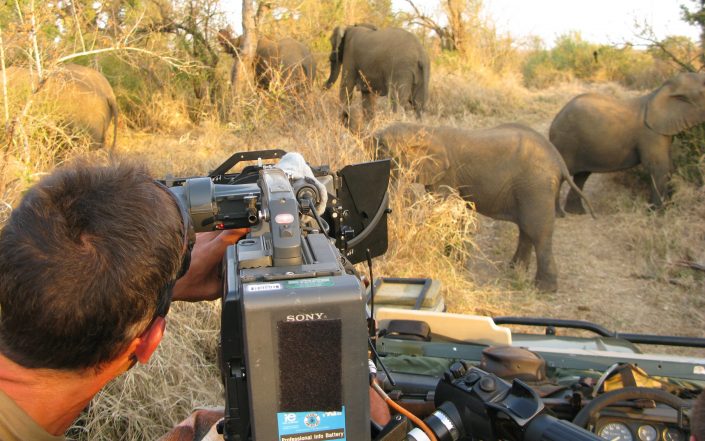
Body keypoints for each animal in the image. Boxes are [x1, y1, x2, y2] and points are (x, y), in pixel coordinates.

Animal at [374, 122, 592, 292]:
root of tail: (559, 161)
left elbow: (444, 208)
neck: (424, 129)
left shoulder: (446, 174)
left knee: (538, 232)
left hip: (536, 186)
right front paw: (456, 262)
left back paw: (544, 289)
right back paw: (514, 271)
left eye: (382, 149)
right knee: (526, 230)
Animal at [548, 72, 704, 213]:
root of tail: (555, 120)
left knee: (582, 176)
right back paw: (559, 215)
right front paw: (658, 214)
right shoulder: (650, 134)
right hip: (565, 142)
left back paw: (576, 212)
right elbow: (659, 167)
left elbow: (668, 166)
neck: (660, 91)